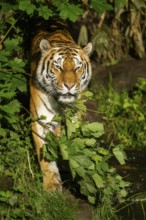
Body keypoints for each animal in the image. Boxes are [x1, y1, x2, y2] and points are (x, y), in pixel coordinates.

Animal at [29, 21, 92, 192]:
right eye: (58, 67)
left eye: (77, 68)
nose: (69, 85)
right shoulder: (40, 121)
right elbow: (45, 156)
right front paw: (51, 185)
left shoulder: (74, 119)